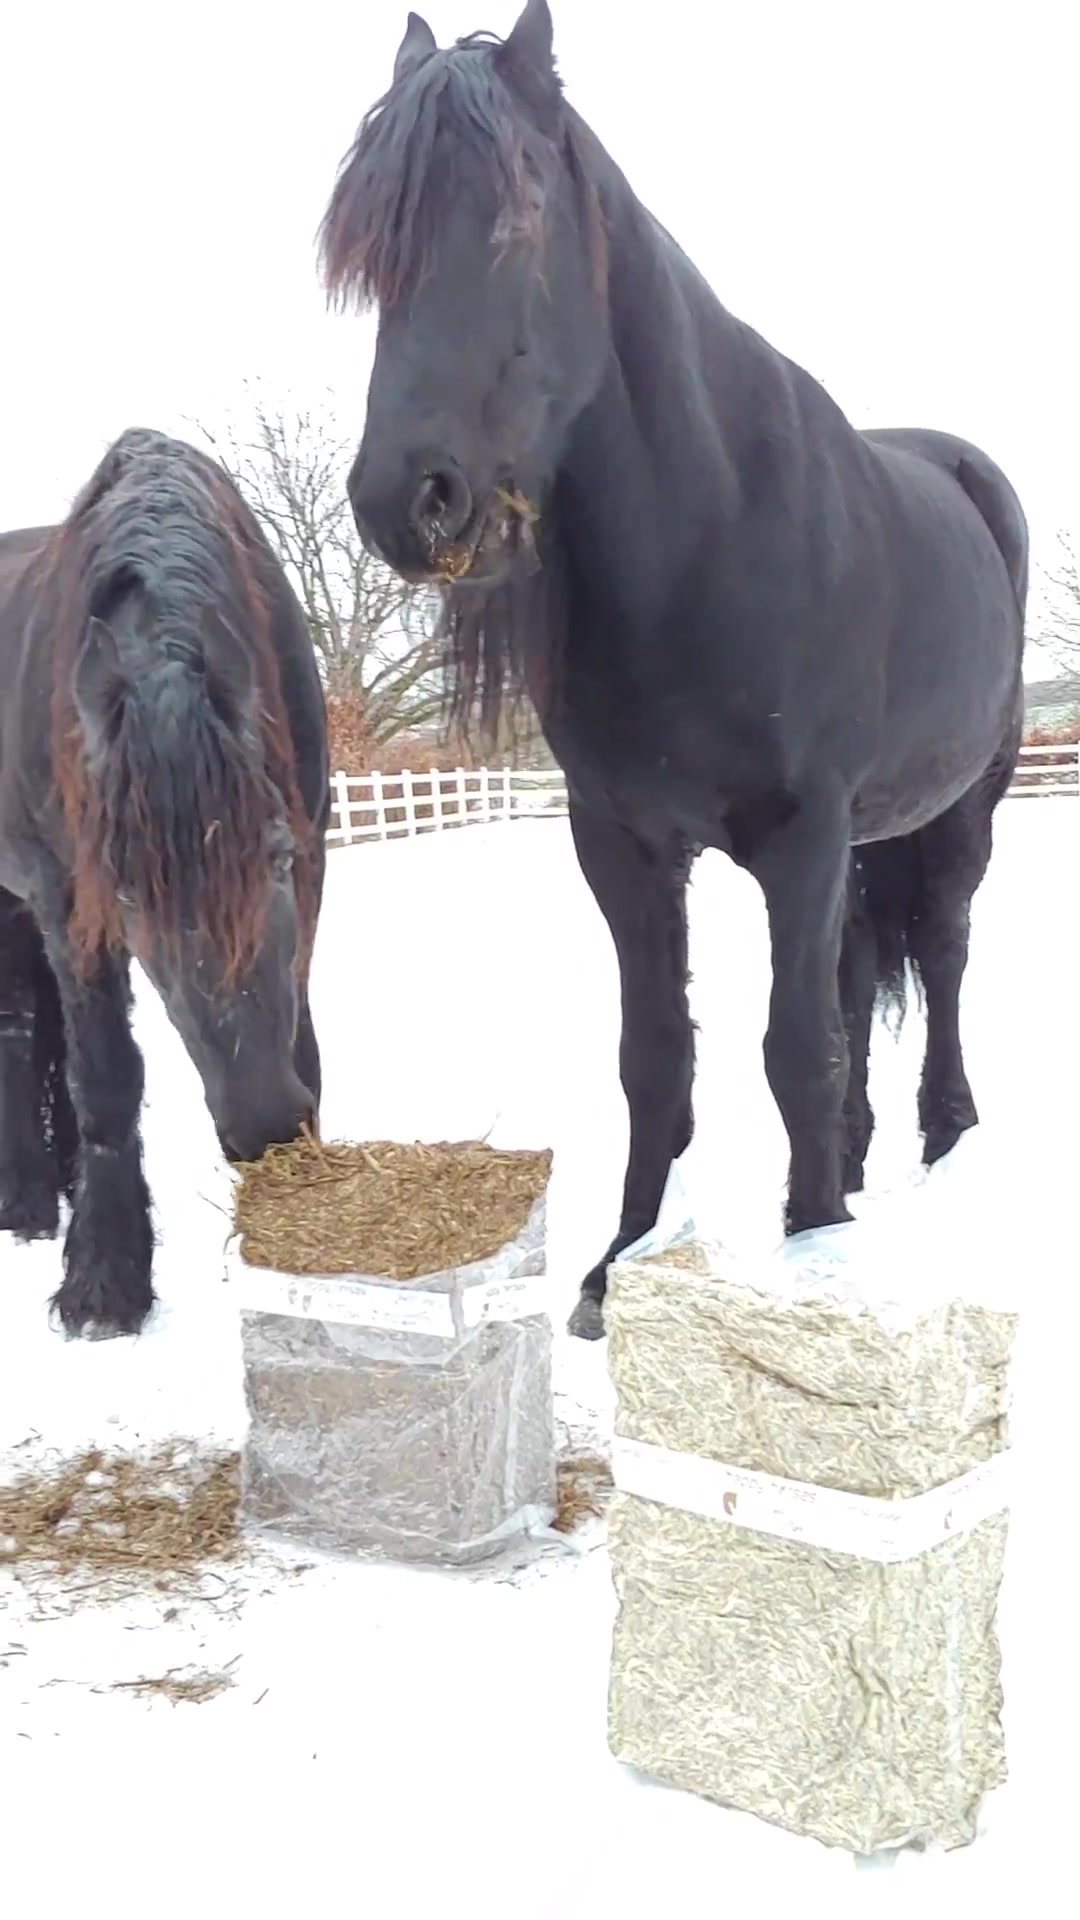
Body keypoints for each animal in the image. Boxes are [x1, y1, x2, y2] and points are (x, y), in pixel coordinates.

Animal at [0, 427, 330, 1338]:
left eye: (279, 859)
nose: (265, 1125)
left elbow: (304, 1037)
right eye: (130, 896)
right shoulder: (66, 900)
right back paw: (29, 1203)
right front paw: (104, 1283)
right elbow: (107, 1077)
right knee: (20, 1035)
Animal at [320, 1, 1027, 1340]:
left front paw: (811, 1253)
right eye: (367, 258)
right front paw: (620, 1264)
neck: (707, 538)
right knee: (863, 971)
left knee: (946, 952)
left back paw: (943, 1136)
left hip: (963, 807)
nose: (405, 500)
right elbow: (659, 1053)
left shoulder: (800, 834)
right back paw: (857, 1157)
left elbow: (792, 1043)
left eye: (514, 222)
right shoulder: (627, 843)